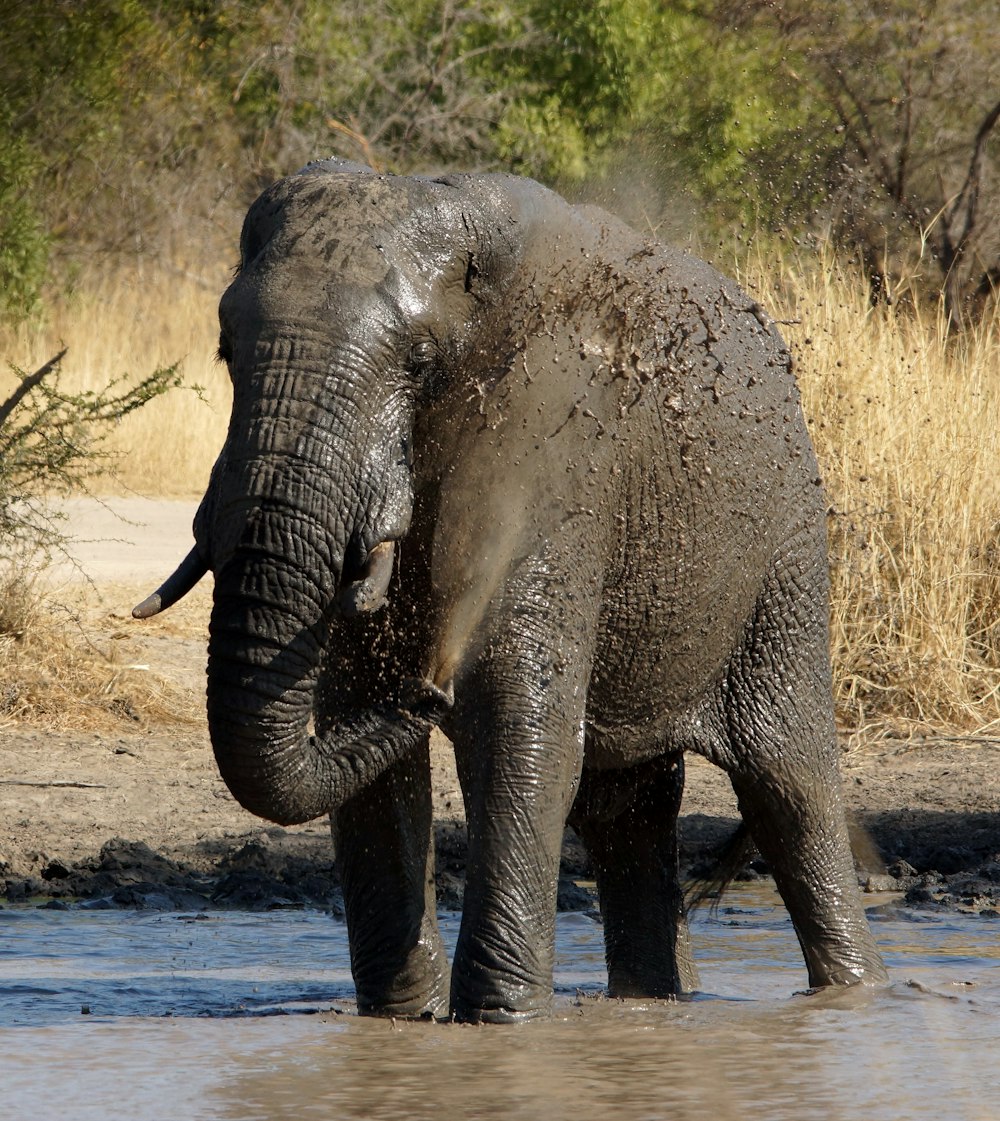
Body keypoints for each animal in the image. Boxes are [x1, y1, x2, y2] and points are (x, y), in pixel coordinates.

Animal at [136, 158, 887, 1026]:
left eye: (420, 362)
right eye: (226, 350)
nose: (426, 689)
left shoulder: (558, 456)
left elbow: (514, 727)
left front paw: (499, 1023)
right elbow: (360, 734)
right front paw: (400, 1023)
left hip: (785, 552)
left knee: (788, 789)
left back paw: (857, 992)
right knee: (626, 809)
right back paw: (656, 1003)